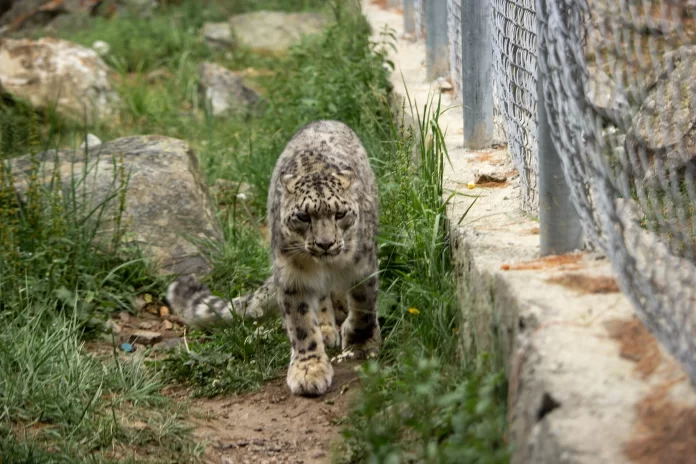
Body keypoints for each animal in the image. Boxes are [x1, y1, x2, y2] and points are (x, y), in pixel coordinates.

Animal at [167, 119, 384, 396]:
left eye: (339, 214)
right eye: (303, 216)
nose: (325, 244)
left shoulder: (362, 265)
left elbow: (364, 306)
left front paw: (361, 344)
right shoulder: (292, 274)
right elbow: (301, 324)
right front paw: (308, 371)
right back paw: (326, 329)